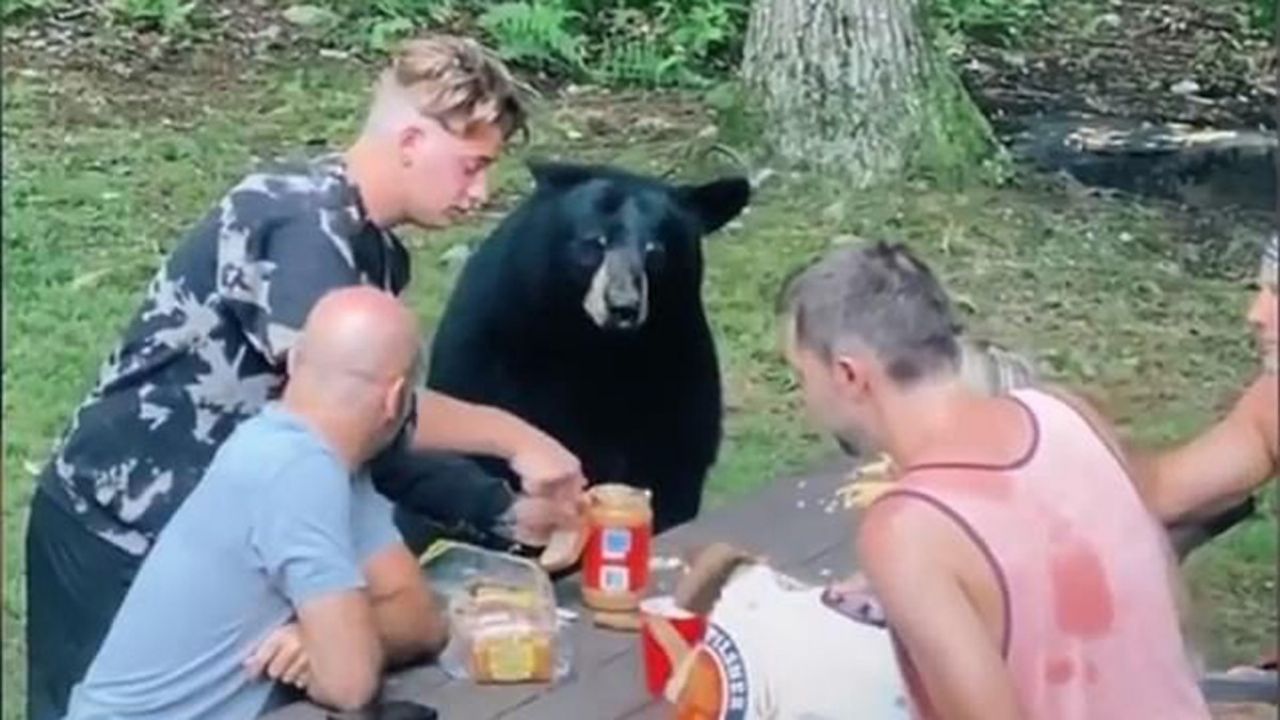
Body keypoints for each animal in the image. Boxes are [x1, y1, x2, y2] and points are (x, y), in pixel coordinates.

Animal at [421, 160, 752, 536]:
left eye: (656, 251)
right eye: (594, 243)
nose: (622, 307)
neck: (596, 349)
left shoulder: (676, 362)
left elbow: (673, 463)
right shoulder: (495, 354)